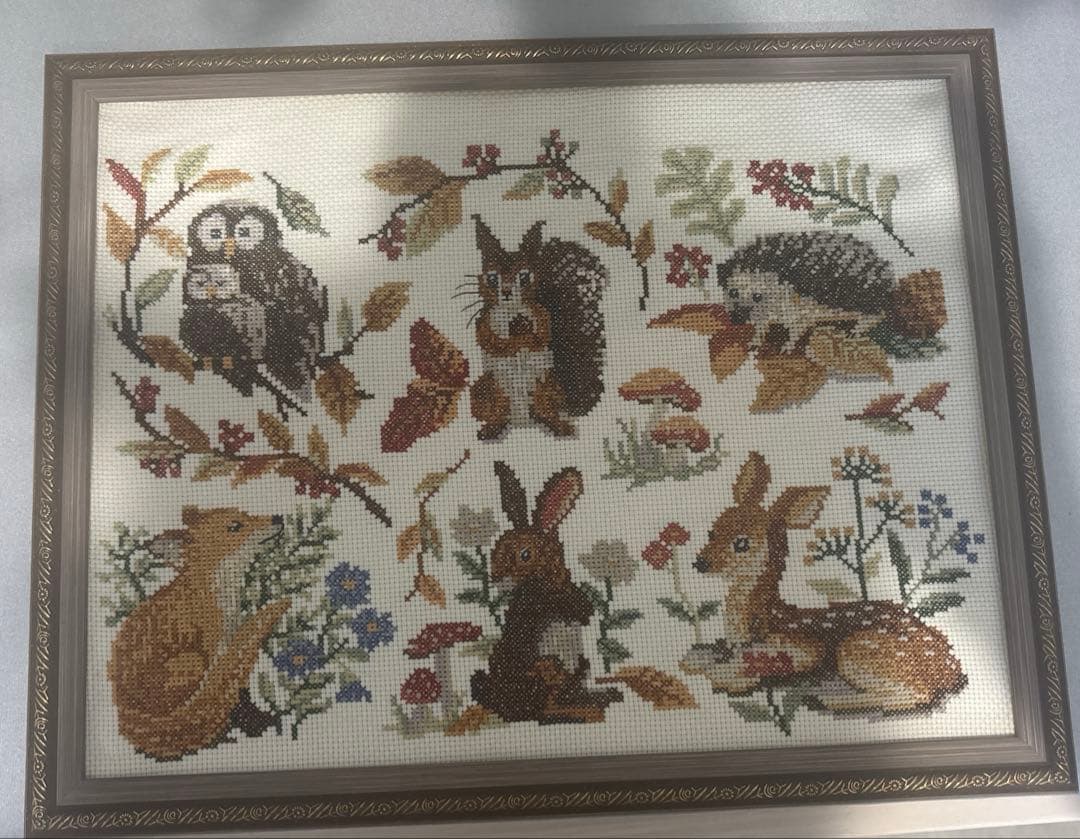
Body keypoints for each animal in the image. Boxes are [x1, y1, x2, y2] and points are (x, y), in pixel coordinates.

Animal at [107, 506, 290, 760]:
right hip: (192, 661)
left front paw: (254, 720)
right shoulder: (215, 650)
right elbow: (227, 693)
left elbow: (240, 692)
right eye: (235, 526)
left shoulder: (230, 640)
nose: (278, 517)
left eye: (246, 514)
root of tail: (123, 713)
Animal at [470, 462, 622, 724]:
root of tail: (501, 701)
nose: (497, 579)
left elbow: (580, 609)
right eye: (494, 550)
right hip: (546, 667)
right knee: (546, 710)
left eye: (525, 555)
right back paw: (586, 708)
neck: (545, 585)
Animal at [681, 452, 966, 714]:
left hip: (860, 649)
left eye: (741, 543)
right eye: (712, 531)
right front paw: (692, 663)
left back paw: (832, 701)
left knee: (913, 695)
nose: (700, 563)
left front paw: (729, 678)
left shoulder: (802, 646)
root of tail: (952, 669)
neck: (759, 621)